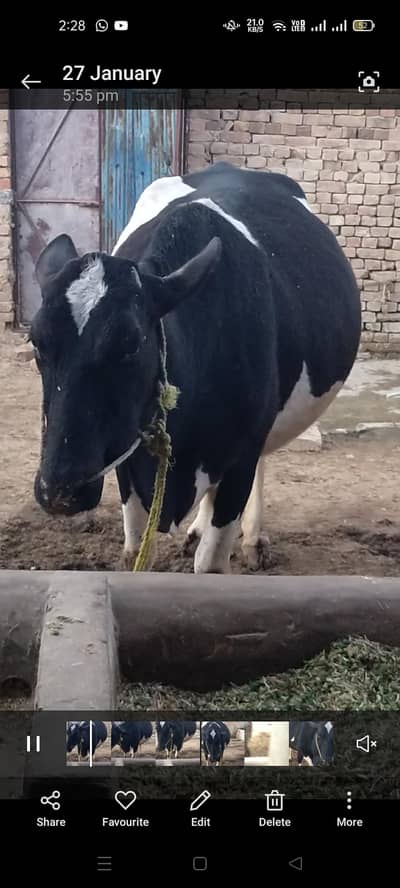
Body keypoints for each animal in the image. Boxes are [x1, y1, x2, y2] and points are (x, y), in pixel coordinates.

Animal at [30, 161, 361, 574]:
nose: (60, 491)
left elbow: (212, 566)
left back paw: (252, 540)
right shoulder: (128, 456)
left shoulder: (241, 456)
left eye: (131, 343)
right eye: (36, 341)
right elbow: (137, 554)